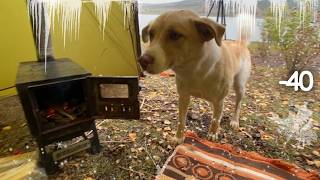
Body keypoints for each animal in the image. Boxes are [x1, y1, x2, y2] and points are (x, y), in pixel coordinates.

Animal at [139, 10, 251, 143]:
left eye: (175, 35)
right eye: (151, 34)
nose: (142, 61)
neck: (195, 71)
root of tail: (240, 43)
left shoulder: (219, 100)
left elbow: (215, 120)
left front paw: (212, 134)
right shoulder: (183, 97)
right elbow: (181, 120)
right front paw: (179, 137)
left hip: (239, 85)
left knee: (238, 104)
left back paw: (234, 121)